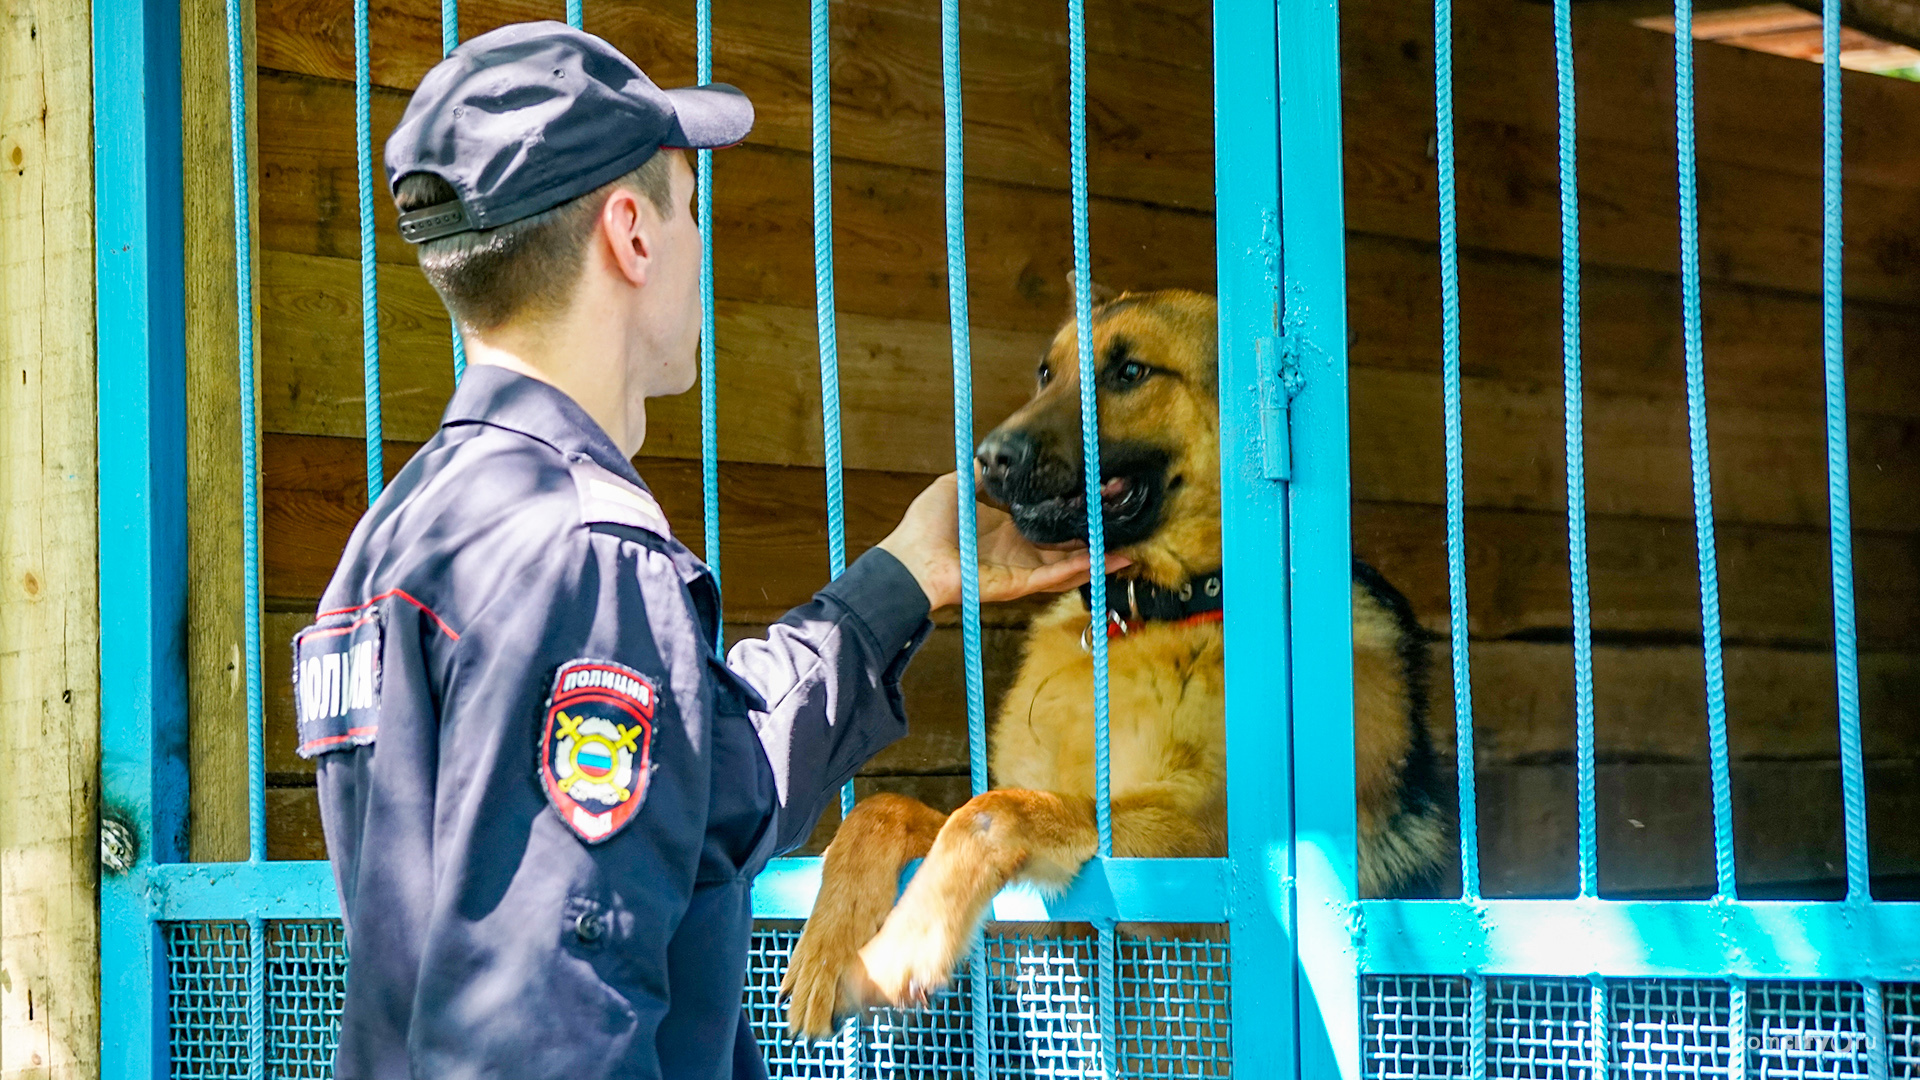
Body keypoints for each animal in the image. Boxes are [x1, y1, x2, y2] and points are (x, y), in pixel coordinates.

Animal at [779, 284, 1443, 1037]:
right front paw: (831, 938)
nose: (988, 458)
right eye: (1045, 373)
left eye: (1129, 373)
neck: (1151, 613)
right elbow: (888, 808)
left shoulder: (1215, 869)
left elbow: (993, 810)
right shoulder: (1052, 929)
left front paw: (903, 944)